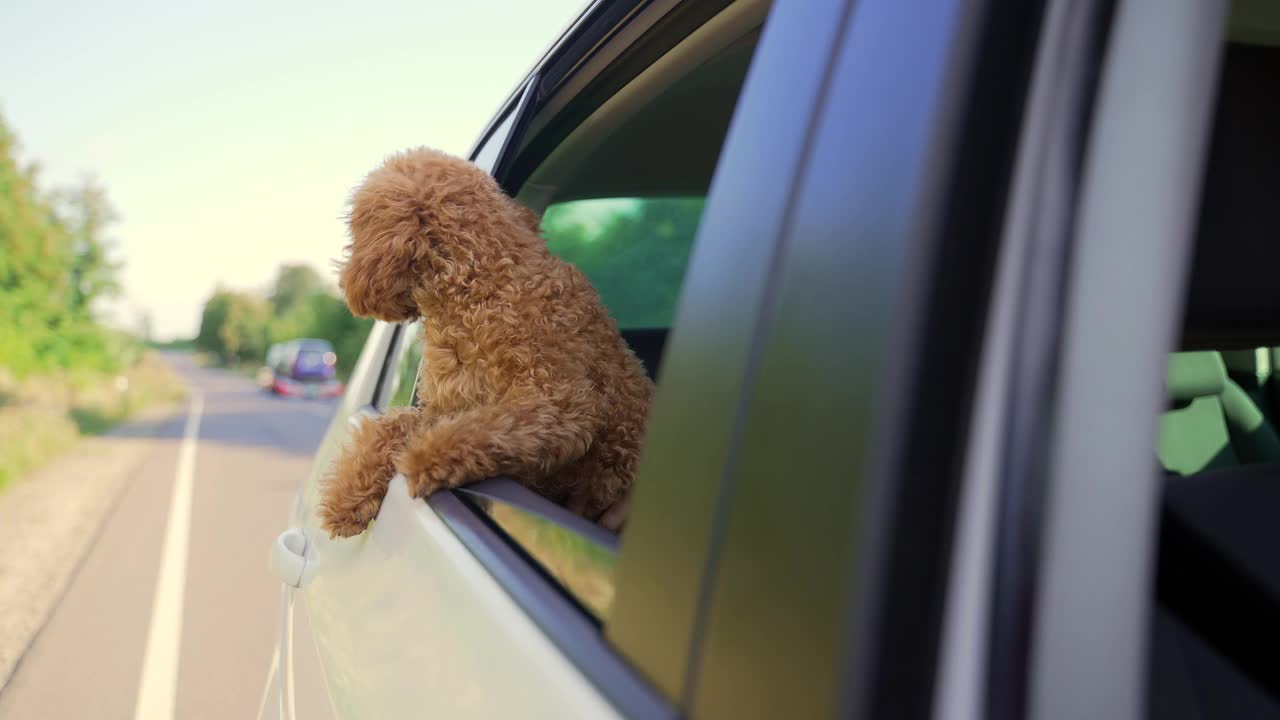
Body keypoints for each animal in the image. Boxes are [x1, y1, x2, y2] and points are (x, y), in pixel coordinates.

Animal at [318, 147, 655, 538]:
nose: (344, 280)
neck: (482, 283)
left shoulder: (562, 401)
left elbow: (491, 427)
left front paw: (426, 458)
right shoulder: (446, 405)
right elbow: (390, 426)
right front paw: (347, 498)